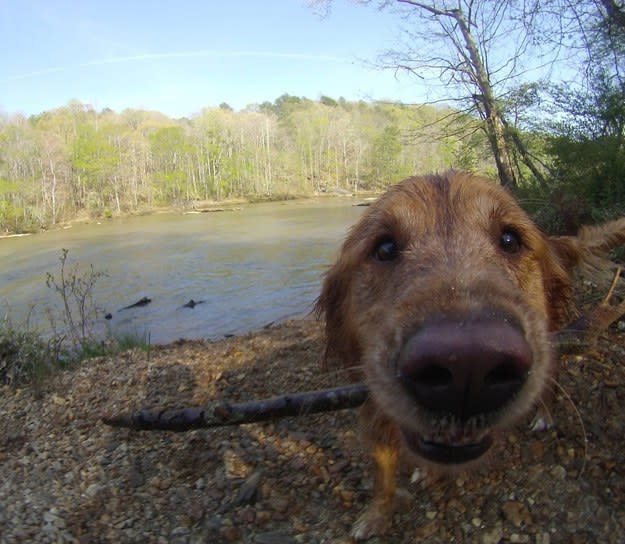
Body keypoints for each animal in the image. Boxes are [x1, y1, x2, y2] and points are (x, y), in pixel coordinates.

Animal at [314, 171, 624, 540]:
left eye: (510, 240)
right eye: (385, 248)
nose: (468, 366)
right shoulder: (374, 415)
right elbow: (383, 477)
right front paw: (377, 515)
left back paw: (545, 415)